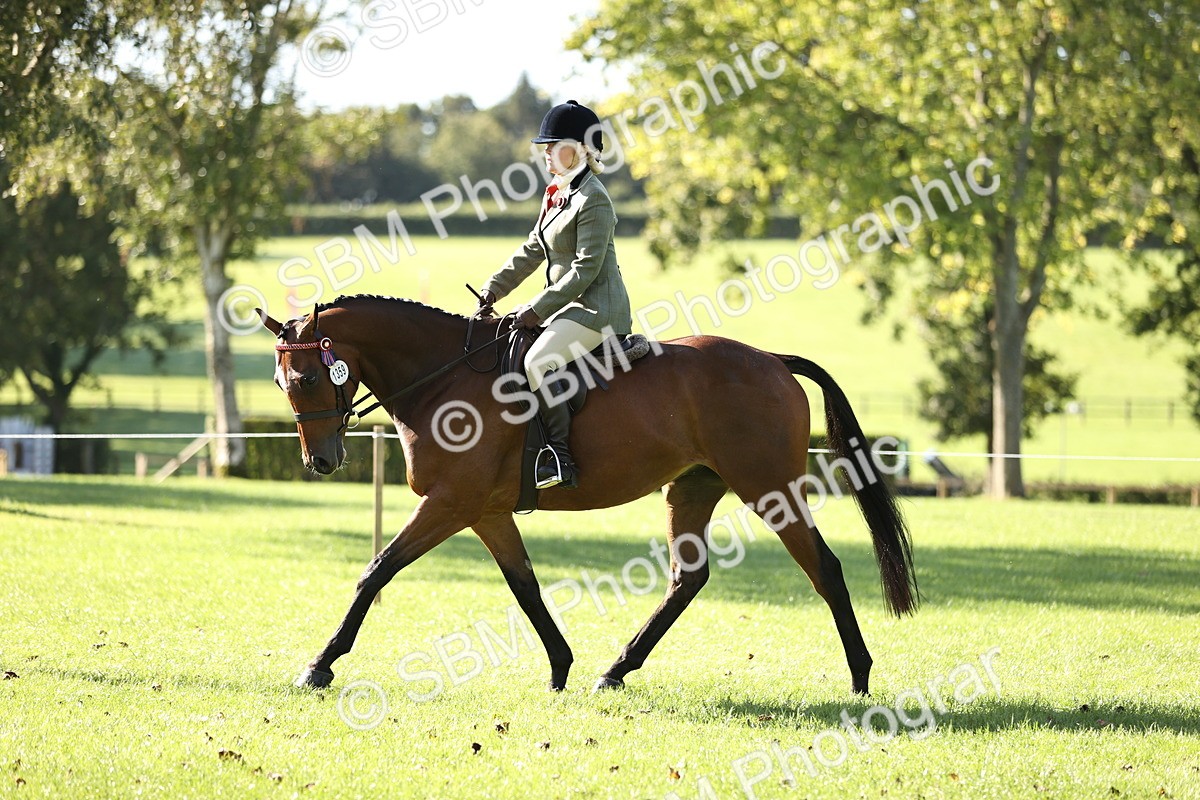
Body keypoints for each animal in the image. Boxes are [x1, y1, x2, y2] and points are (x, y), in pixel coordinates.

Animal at [259, 295, 918, 696]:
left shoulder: (449, 504)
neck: (443, 378)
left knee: (824, 568)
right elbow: (524, 587)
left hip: (770, 489)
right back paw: (615, 670)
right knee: (688, 579)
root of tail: (772, 361)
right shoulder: (486, 512)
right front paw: (560, 667)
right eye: (282, 382)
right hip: (692, 490)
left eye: (309, 376)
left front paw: (320, 665)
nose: (321, 462)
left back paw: (860, 678)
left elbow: (376, 570)